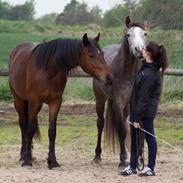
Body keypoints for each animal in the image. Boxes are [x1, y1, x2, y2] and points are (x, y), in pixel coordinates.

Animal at [8, 33, 113, 169]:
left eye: (103, 54)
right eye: (91, 55)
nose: (109, 78)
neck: (48, 69)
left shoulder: (55, 102)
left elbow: (52, 131)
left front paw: (52, 161)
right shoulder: (34, 101)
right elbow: (30, 129)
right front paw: (27, 161)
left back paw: (30, 153)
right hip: (19, 100)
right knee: (23, 124)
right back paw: (23, 155)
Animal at [93, 16, 149, 167]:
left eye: (145, 34)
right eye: (128, 35)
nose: (139, 50)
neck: (128, 74)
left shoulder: (134, 103)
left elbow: (134, 128)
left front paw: (138, 157)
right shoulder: (118, 103)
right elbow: (122, 131)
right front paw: (123, 159)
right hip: (100, 99)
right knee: (100, 124)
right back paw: (97, 156)